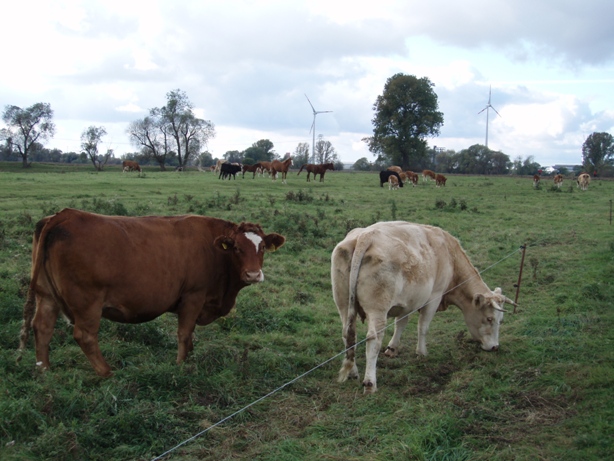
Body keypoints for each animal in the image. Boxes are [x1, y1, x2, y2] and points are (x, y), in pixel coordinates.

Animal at [16, 208, 286, 378]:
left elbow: (190, 335)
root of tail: (63, 216)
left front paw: (189, 357)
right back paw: (107, 372)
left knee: (42, 327)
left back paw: (44, 370)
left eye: (262, 247)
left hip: (46, 295)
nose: (253, 275)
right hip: (87, 302)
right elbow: (184, 333)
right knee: (85, 336)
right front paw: (181, 365)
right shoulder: (193, 296)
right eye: (237, 248)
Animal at [334, 222, 516, 392]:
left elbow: (401, 324)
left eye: (500, 320)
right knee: (373, 339)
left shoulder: (406, 302)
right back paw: (370, 383)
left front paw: (392, 348)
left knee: (347, 334)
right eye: (489, 318)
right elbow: (423, 327)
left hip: (343, 305)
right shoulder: (434, 297)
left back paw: (353, 372)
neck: (450, 256)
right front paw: (421, 353)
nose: (495, 347)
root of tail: (366, 235)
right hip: (377, 310)